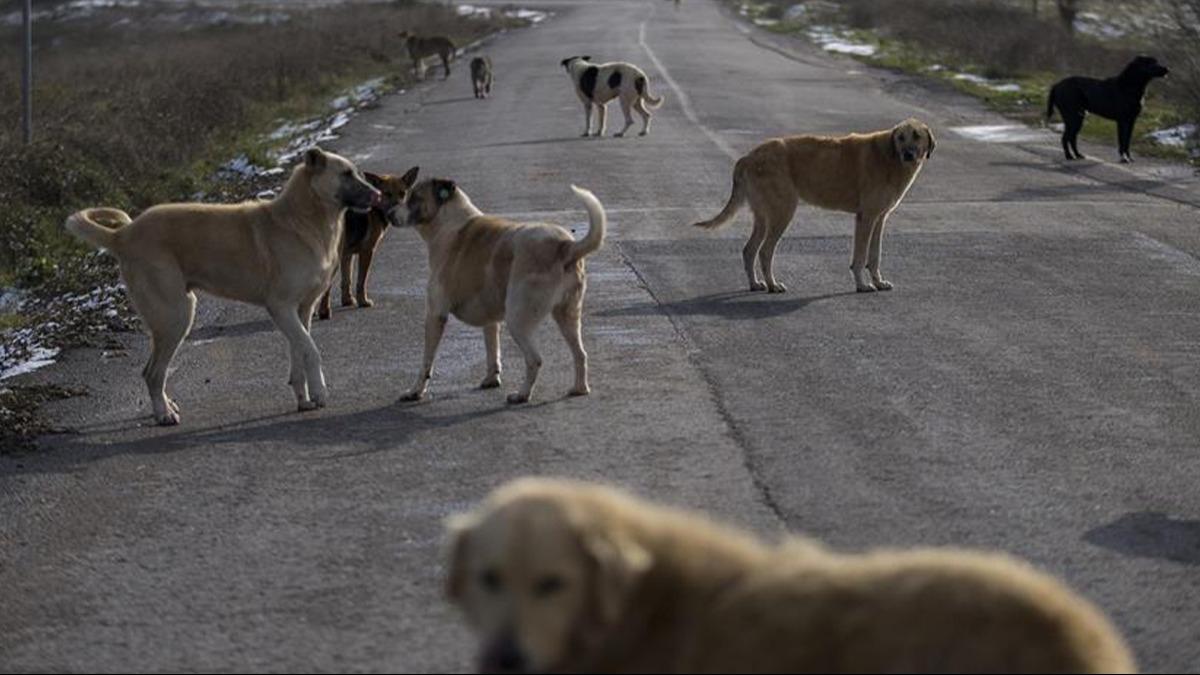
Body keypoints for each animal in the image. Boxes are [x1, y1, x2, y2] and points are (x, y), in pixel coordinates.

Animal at [64, 147, 379, 422]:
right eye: (346, 174)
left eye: (357, 172)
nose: (377, 195)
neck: (303, 219)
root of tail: (123, 235)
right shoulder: (281, 307)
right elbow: (311, 351)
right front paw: (320, 392)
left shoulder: (301, 310)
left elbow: (299, 353)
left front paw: (304, 399)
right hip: (176, 315)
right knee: (152, 373)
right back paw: (163, 414)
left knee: (153, 371)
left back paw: (167, 406)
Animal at [316, 164, 420, 317]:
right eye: (387, 193)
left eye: (402, 193)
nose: (397, 212)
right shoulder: (367, 251)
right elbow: (361, 281)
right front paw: (363, 301)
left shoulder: (347, 255)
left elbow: (346, 279)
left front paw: (347, 300)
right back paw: (324, 312)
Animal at [398, 177, 604, 403]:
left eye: (414, 197)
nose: (389, 212)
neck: (448, 222)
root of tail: (565, 245)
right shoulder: (490, 318)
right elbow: (492, 349)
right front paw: (492, 379)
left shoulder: (435, 315)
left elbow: (426, 361)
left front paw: (415, 391)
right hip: (567, 316)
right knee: (580, 354)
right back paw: (579, 388)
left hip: (518, 319)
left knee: (535, 359)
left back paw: (522, 394)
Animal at [696, 116, 936, 294]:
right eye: (901, 137)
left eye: (916, 136)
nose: (908, 154)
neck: (890, 156)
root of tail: (747, 157)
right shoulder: (866, 217)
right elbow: (860, 257)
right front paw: (862, 285)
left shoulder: (879, 219)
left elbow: (874, 255)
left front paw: (878, 281)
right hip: (782, 212)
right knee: (764, 251)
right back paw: (773, 285)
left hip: (764, 217)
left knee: (749, 250)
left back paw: (755, 284)